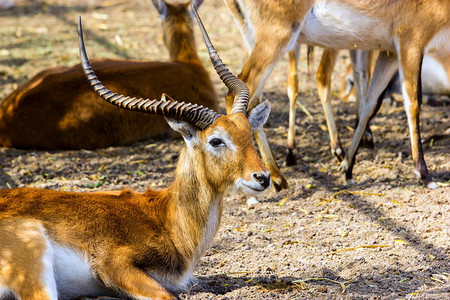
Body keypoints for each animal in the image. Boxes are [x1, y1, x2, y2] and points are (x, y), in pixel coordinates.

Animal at [223, 0, 448, 188]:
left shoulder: (389, 52)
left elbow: (371, 102)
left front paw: (347, 166)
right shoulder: (411, 43)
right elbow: (413, 103)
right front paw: (424, 174)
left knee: (253, 97)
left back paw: (279, 177)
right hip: (277, 38)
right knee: (239, 93)